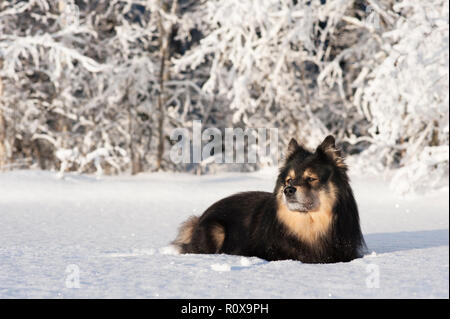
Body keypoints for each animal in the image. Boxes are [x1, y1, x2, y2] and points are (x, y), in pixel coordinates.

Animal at [172, 136, 366, 264]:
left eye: (311, 178)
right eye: (289, 180)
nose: (288, 190)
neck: (308, 226)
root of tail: (199, 218)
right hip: (216, 229)